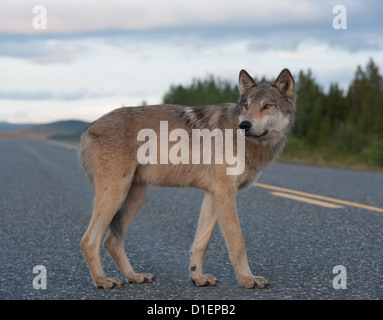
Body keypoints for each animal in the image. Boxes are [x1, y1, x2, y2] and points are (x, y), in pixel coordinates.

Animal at [79, 68, 296, 290]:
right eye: (246, 106)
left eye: (267, 106)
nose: (244, 125)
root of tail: (88, 129)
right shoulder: (225, 193)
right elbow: (238, 243)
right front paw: (247, 279)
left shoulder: (213, 194)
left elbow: (200, 243)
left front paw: (197, 277)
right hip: (116, 194)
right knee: (89, 240)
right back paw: (103, 280)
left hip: (135, 197)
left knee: (112, 241)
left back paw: (134, 276)